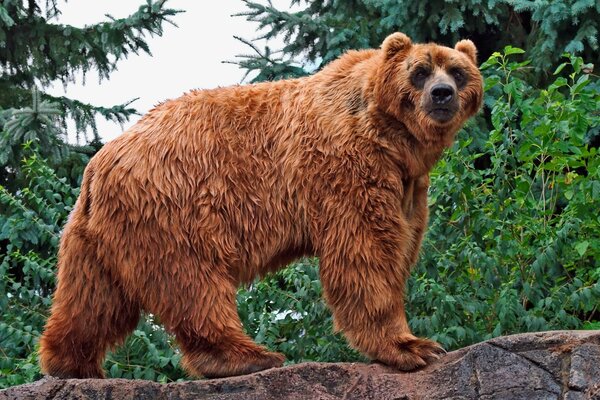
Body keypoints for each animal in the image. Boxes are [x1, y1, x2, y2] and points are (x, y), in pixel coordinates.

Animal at [38, 32, 482, 378]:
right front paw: (414, 346)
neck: (392, 137)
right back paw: (247, 356)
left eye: (458, 71)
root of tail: (99, 164)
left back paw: (71, 364)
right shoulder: (346, 165)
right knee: (192, 281)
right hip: (173, 203)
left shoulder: (407, 182)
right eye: (419, 71)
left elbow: (402, 241)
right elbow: (365, 251)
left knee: (94, 298)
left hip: (98, 235)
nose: (442, 94)